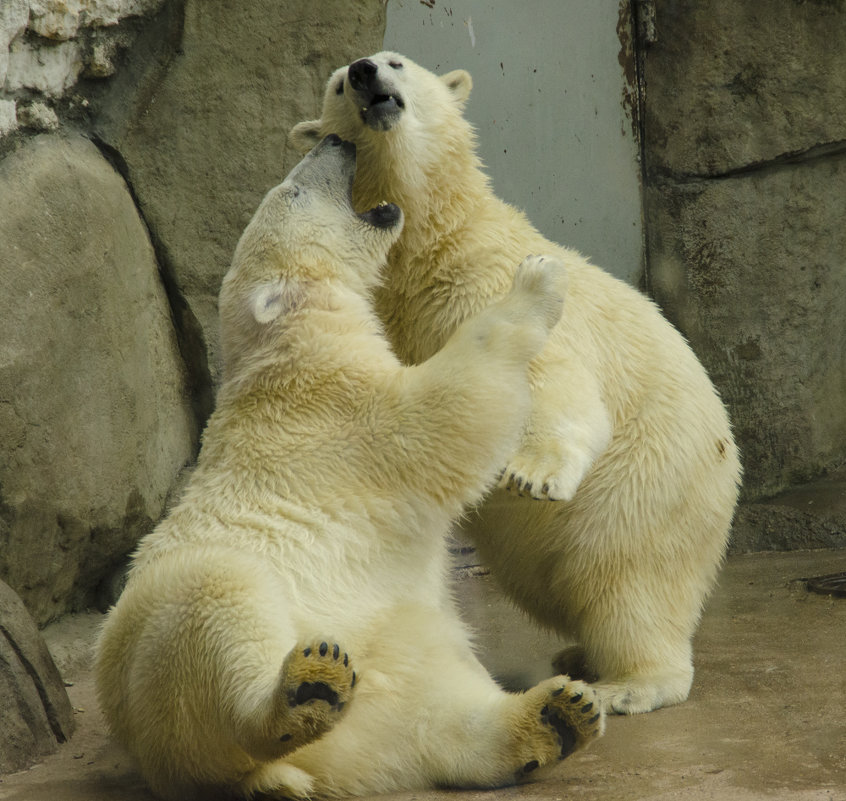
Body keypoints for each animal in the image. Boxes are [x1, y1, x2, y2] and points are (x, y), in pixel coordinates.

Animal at [94, 133, 604, 800]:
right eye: (292, 190)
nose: (336, 140)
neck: (288, 343)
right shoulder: (341, 410)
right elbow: (450, 407)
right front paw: (538, 277)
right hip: (158, 633)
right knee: (216, 611)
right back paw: (303, 689)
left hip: (396, 655)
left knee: (439, 712)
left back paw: (556, 715)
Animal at [294, 51, 744, 712]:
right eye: (335, 84)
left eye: (397, 60)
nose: (365, 71)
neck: (430, 247)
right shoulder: (396, 318)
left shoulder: (488, 283)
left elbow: (546, 378)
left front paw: (532, 474)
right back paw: (579, 653)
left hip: (646, 488)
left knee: (622, 579)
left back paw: (625, 684)